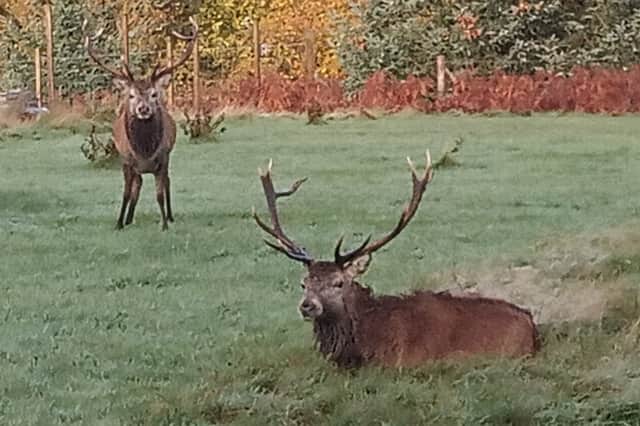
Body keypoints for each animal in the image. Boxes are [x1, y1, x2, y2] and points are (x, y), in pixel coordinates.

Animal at [83, 17, 198, 230]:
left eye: (154, 94)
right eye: (131, 95)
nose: (143, 109)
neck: (144, 151)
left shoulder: (163, 158)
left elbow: (160, 193)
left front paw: (164, 224)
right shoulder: (126, 160)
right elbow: (127, 192)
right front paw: (119, 223)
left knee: (166, 182)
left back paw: (169, 216)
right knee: (138, 184)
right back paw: (128, 218)